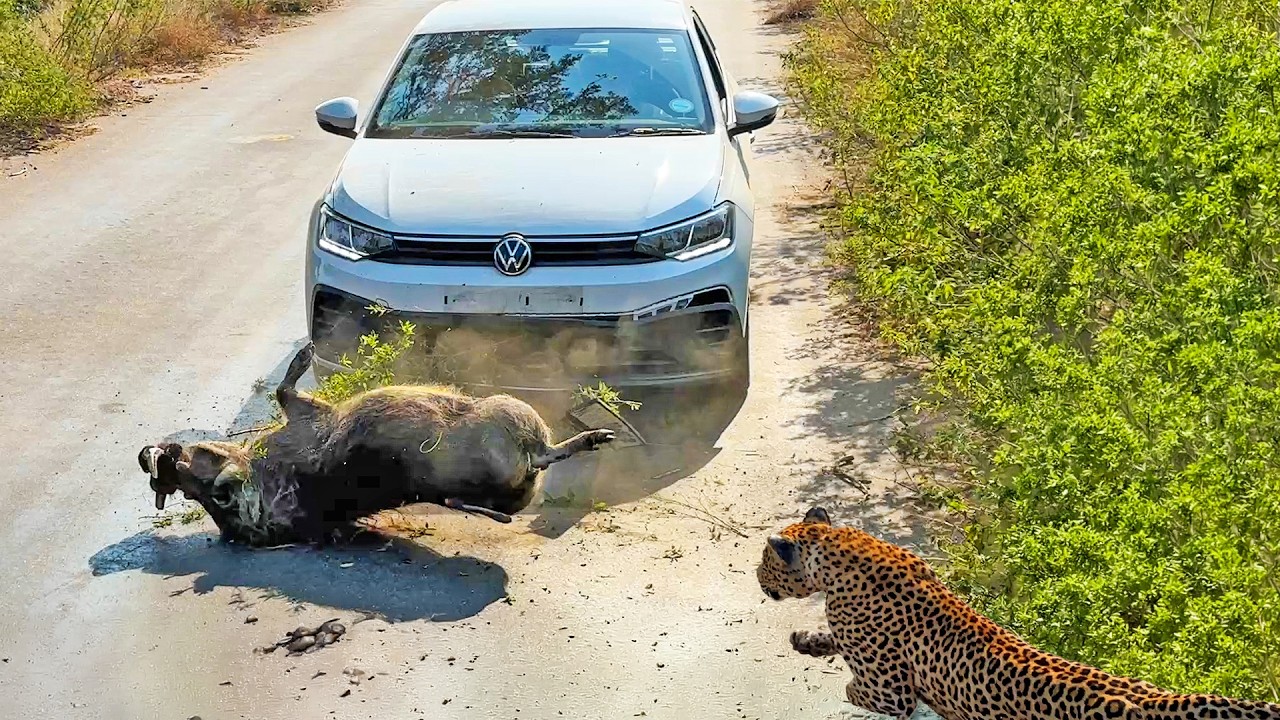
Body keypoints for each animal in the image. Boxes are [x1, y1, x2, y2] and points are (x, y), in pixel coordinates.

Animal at [757, 506, 1280, 720]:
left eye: (764, 560)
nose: (756, 578)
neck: (839, 551)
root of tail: (1158, 701)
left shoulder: (891, 694)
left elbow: (858, 688)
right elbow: (832, 640)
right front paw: (807, 641)